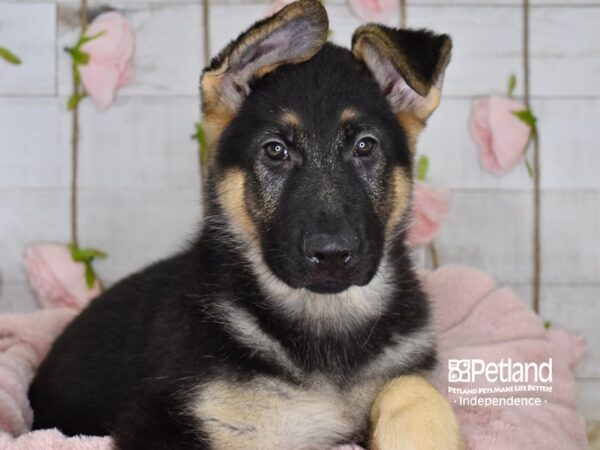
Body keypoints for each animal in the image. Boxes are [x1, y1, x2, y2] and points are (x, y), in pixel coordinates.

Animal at [28, 1, 462, 448]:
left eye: (365, 146)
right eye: (275, 151)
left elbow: (412, 386)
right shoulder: (164, 421)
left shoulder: (404, 368)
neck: (323, 318)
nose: (332, 254)